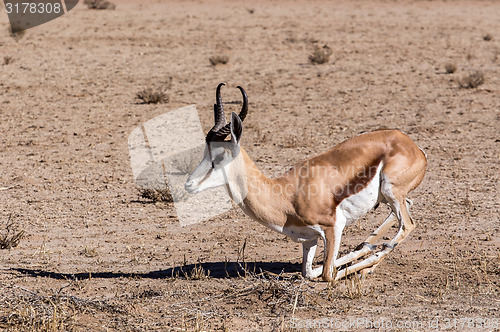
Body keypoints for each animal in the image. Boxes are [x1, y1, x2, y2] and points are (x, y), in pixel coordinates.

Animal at [186, 83, 428, 280]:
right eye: (204, 153)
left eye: (219, 157)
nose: (189, 184)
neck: (285, 195)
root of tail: (412, 145)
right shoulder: (310, 240)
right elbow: (310, 272)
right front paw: (365, 250)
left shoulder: (333, 227)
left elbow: (328, 274)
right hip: (387, 198)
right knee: (405, 209)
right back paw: (368, 251)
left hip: (390, 192)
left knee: (407, 225)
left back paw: (373, 257)